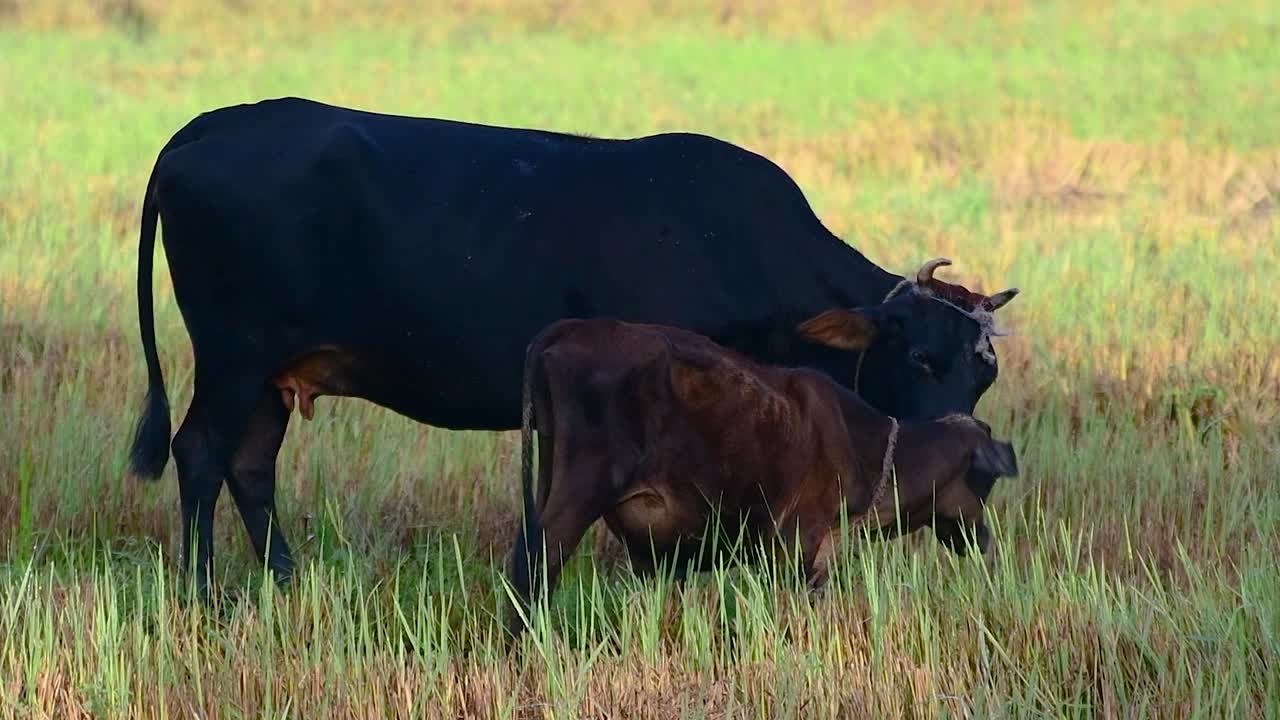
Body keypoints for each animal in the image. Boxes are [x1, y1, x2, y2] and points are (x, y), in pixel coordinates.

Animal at [125, 97, 1019, 591]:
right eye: (921, 358)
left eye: (984, 378)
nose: (961, 439)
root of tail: (212, 127)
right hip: (233, 355)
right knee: (200, 453)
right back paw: (200, 595)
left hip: (271, 372)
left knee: (249, 466)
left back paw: (286, 581)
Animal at [505, 317, 1019, 637]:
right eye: (985, 482)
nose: (984, 542)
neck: (867, 448)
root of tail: (573, 328)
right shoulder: (799, 549)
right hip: (579, 492)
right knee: (531, 569)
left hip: (550, 477)